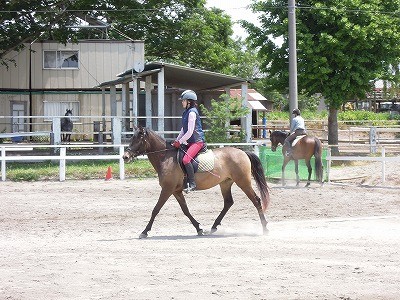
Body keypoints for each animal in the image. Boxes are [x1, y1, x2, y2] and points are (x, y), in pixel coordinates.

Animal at [123, 126, 270, 239]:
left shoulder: (167, 189)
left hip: (243, 182)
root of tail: (243, 152)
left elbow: (155, 209)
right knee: (228, 202)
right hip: (225, 183)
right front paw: (199, 228)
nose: (125, 156)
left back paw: (265, 229)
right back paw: (213, 227)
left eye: (138, 139)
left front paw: (144, 232)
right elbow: (185, 210)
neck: (165, 157)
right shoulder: (176, 191)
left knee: (256, 200)